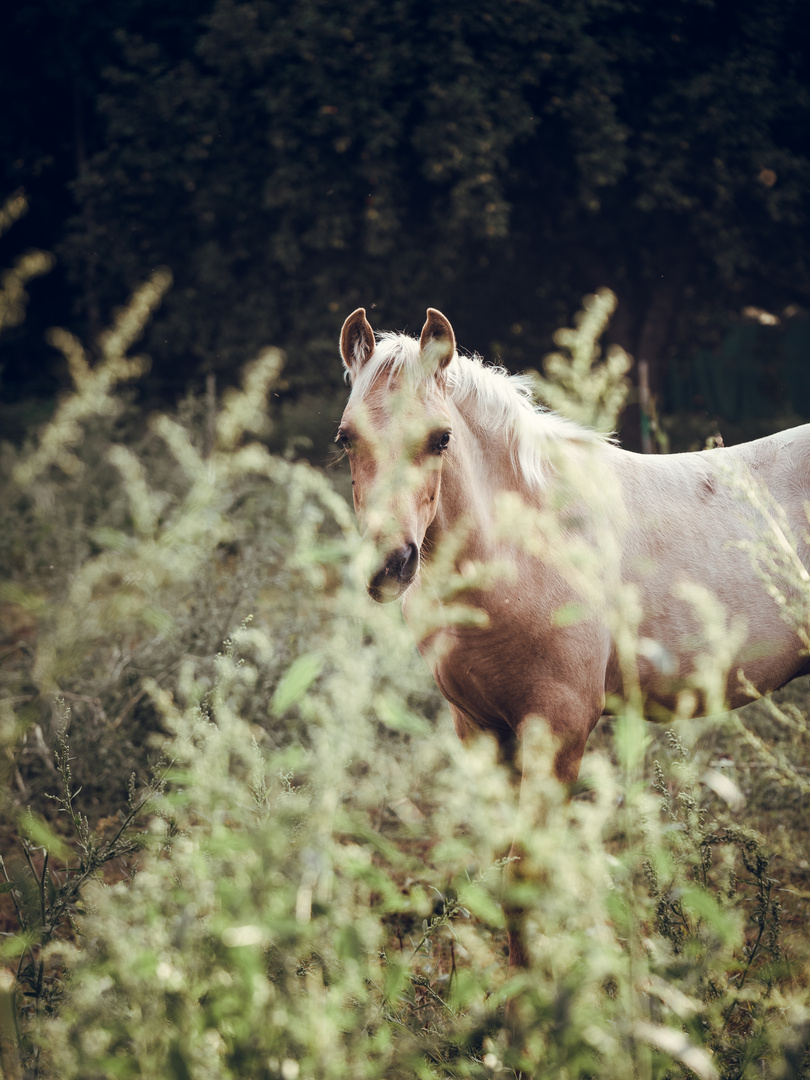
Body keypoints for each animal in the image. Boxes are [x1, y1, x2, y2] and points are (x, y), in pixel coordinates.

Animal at [336, 306, 810, 972]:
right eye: (346, 438)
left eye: (441, 439)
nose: (390, 564)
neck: (527, 544)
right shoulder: (480, 728)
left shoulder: (557, 729)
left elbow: (527, 882)